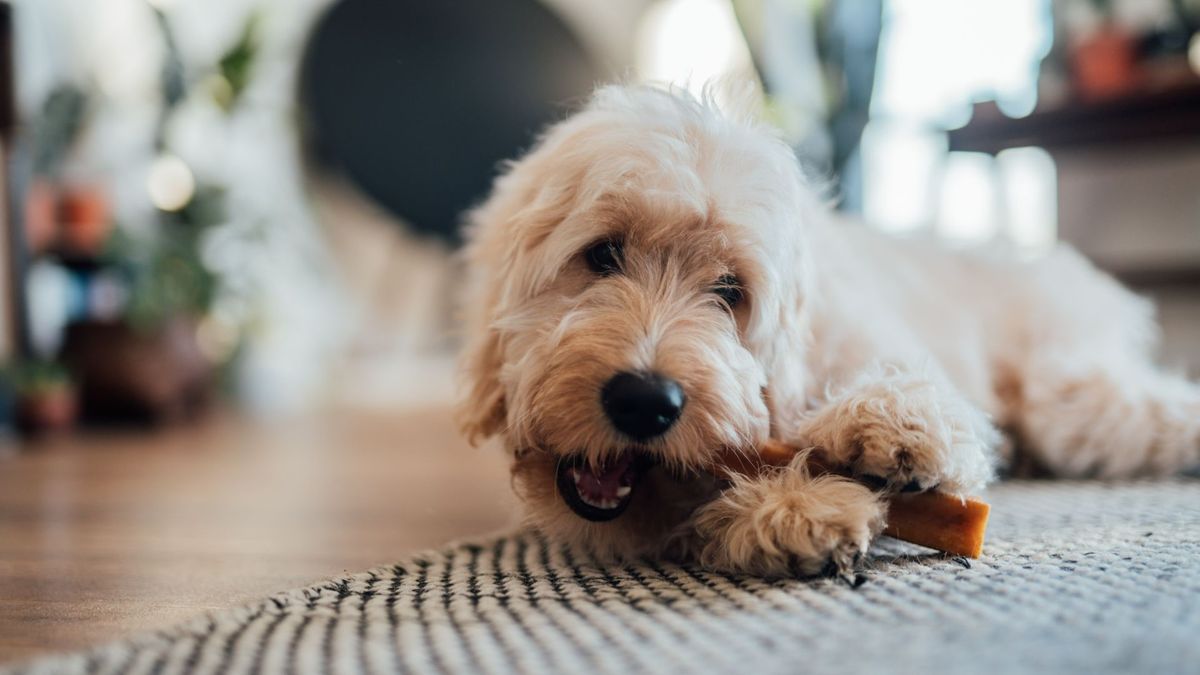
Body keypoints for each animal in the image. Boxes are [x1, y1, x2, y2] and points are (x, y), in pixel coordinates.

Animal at [453, 84, 1200, 576]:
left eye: (730, 291)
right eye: (602, 254)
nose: (645, 400)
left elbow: (924, 402)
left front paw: (888, 430)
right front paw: (795, 508)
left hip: (1067, 393)